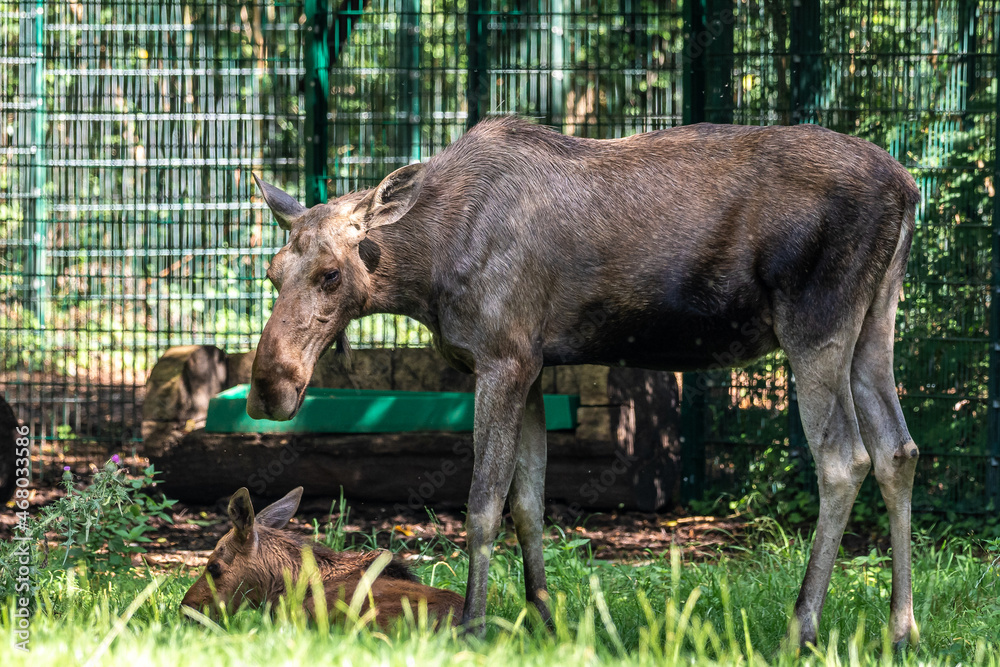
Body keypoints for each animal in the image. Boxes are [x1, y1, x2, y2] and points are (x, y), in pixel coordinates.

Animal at [245, 116, 921, 646]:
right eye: (273, 272)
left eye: (332, 274)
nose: (268, 389)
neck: (424, 273)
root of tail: (909, 187)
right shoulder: (533, 366)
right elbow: (530, 502)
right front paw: (546, 621)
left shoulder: (502, 359)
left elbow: (483, 505)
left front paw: (474, 626)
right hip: (874, 323)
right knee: (898, 450)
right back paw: (902, 629)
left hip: (815, 324)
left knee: (844, 459)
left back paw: (800, 628)